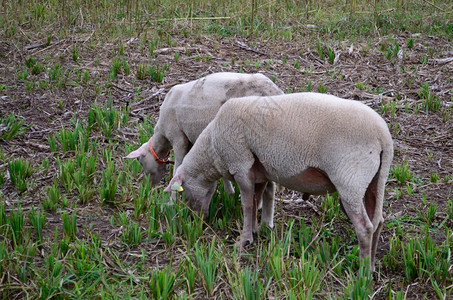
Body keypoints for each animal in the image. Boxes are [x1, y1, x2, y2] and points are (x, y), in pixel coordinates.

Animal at [164, 92, 394, 270]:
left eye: (182, 192)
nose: (197, 221)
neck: (212, 149)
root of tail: (383, 136)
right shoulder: (259, 173)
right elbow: (256, 199)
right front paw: (255, 231)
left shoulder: (241, 164)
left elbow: (247, 204)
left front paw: (244, 240)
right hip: (374, 180)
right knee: (377, 221)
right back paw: (371, 266)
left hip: (350, 180)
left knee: (364, 227)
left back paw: (362, 274)